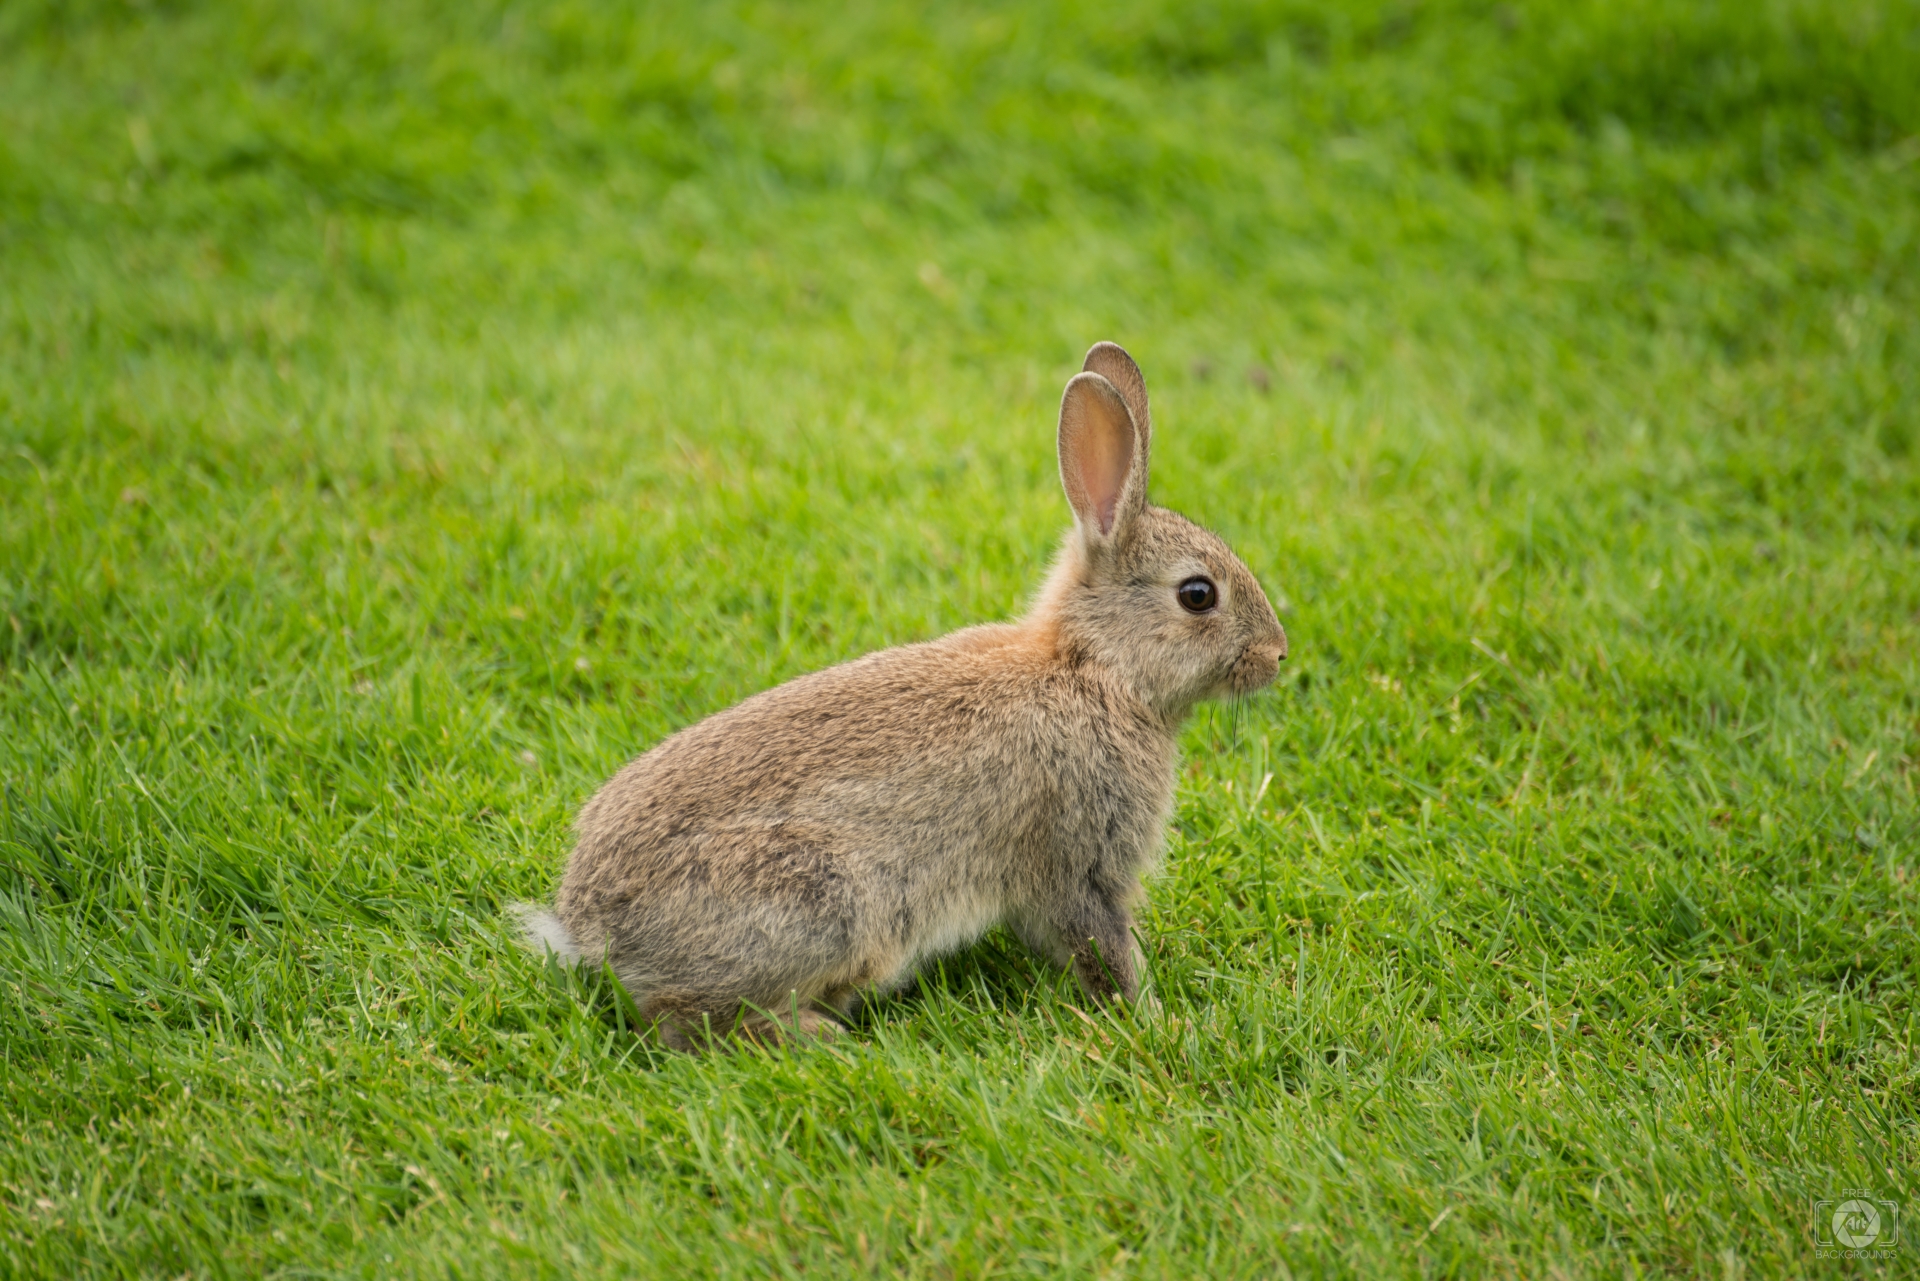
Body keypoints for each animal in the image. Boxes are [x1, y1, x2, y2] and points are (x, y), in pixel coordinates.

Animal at [510, 343, 1290, 1052]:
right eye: (1198, 594)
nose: (1279, 654)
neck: (1094, 669)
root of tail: (587, 930)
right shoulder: (1079, 856)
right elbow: (1105, 949)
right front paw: (1160, 1019)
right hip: (831, 903)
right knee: (682, 1020)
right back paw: (816, 1032)